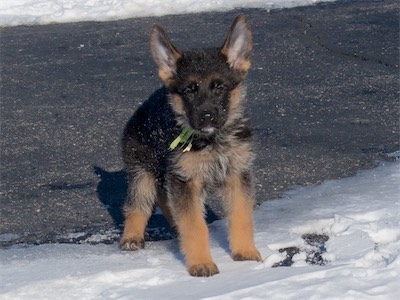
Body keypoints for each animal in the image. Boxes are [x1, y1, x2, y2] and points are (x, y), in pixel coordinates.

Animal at [120, 14, 260, 276]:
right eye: (189, 90)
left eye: (219, 87)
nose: (207, 116)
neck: (213, 142)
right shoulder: (186, 182)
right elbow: (195, 226)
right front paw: (201, 263)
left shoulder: (237, 175)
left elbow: (241, 216)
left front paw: (245, 252)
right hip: (143, 174)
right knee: (137, 204)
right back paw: (131, 237)